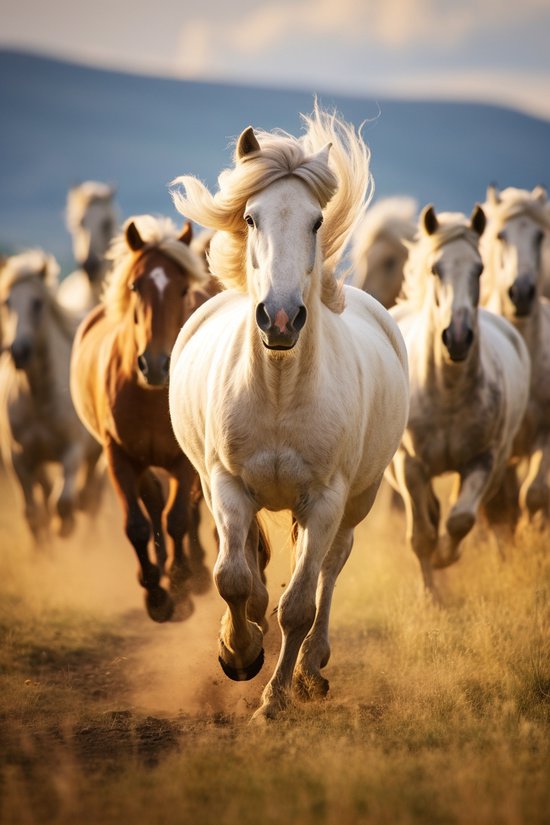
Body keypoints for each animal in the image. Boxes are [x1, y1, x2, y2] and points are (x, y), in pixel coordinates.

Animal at [0, 251, 104, 540]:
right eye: (7, 302)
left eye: (37, 303)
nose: (19, 351)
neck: (39, 398)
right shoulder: (19, 458)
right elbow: (33, 514)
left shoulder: (73, 450)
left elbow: (63, 502)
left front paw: (65, 527)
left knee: (90, 497)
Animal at [70, 215, 212, 622]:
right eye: (135, 285)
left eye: (182, 289)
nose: (157, 364)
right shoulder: (119, 455)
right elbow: (136, 524)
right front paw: (156, 593)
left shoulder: (184, 459)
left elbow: (177, 517)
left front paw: (181, 585)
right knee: (152, 503)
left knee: (184, 510)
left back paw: (194, 572)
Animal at [168, 105, 409, 721]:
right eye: (251, 218)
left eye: (316, 221)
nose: (279, 319)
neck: (279, 391)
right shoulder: (227, 484)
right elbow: (232, 577)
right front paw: (238, 652)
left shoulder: (325, 499)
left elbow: (300, 605)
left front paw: (273, 701)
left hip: (356, 499)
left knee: (329, 567)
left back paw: (310, 669)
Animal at [387, 205, 530, 593]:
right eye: (436, 269)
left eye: (479, 269)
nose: (458, 338)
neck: (447, 392)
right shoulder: (410, 465)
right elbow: (421, 535)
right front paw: (431, 594)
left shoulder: (483, 460)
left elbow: (460, 519)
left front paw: (446, 556)